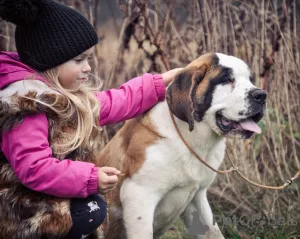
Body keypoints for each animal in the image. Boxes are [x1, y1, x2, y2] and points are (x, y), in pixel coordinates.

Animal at [98, 53, 268, 239]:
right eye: (227, 79)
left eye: (250, 80)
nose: (261, 95)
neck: (188, 140)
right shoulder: (138, 196)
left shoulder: (197, 197)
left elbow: (212, 231)